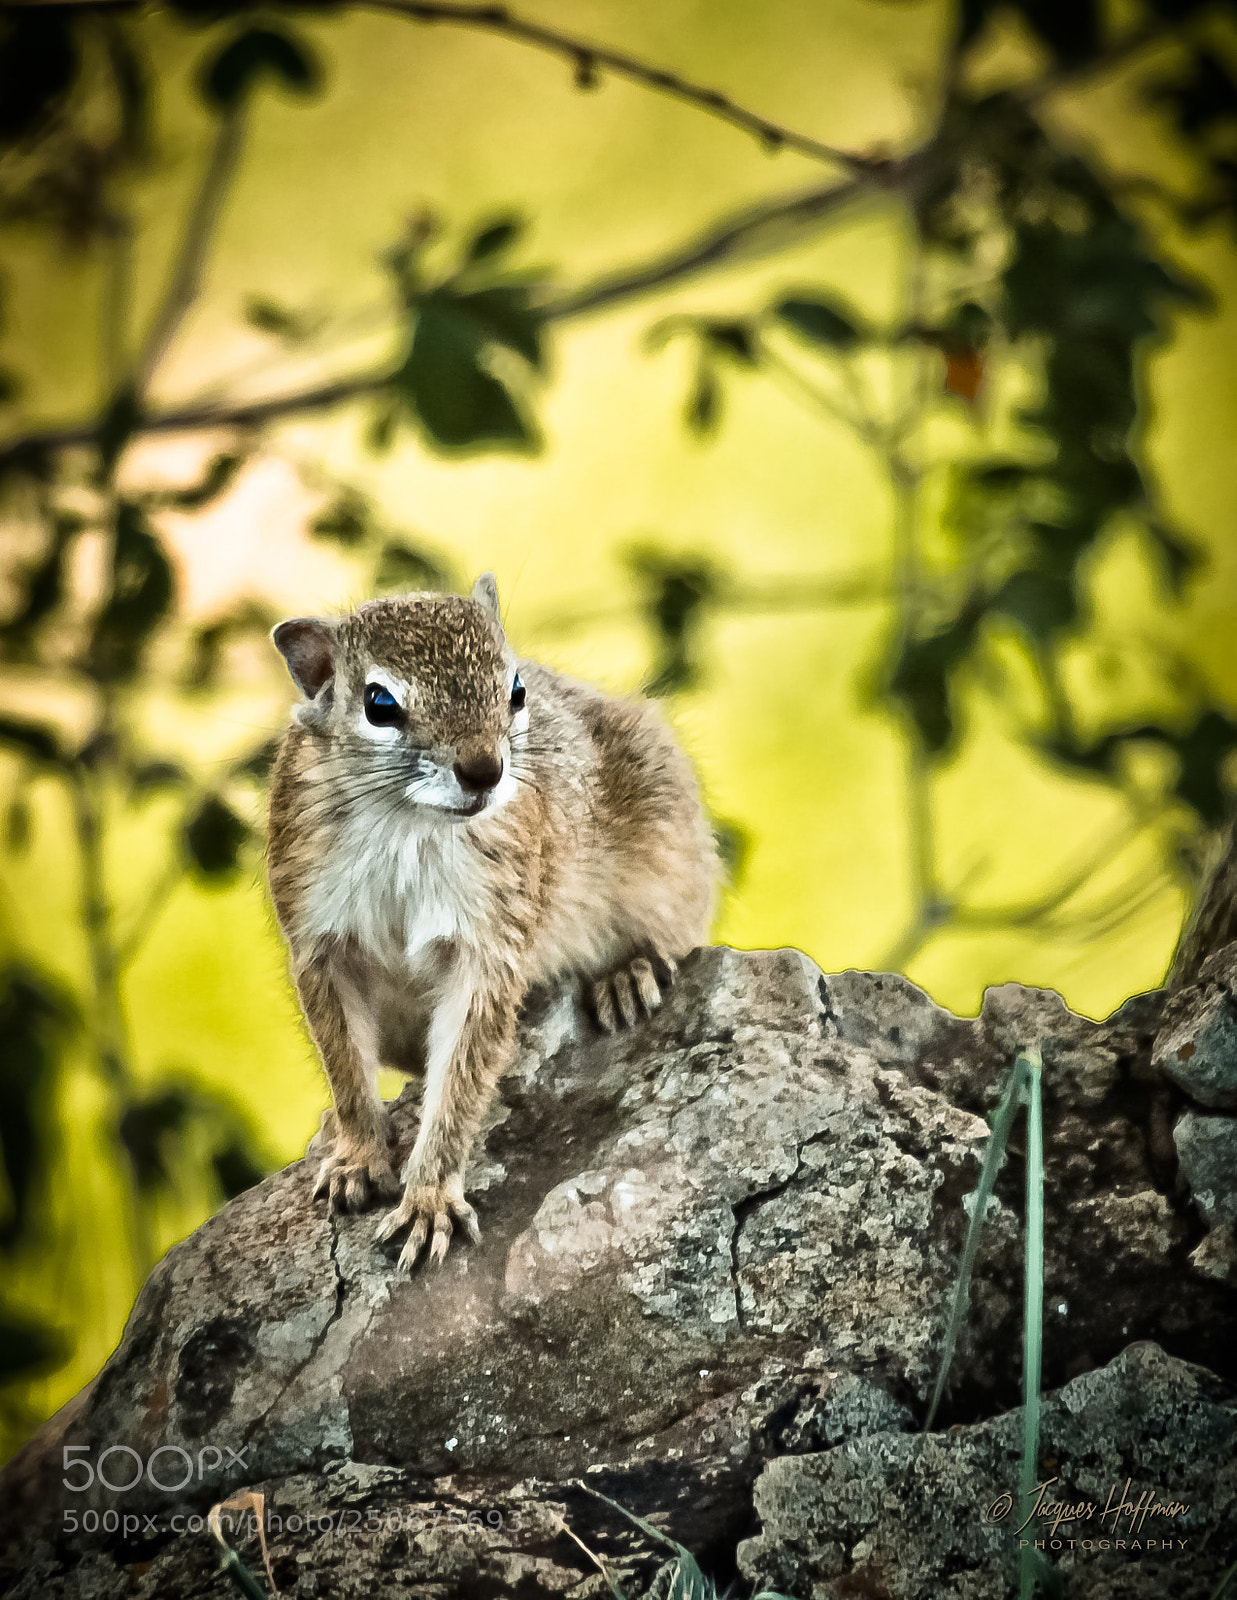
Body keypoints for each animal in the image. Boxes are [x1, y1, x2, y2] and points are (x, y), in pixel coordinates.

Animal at [267, 574, 718, 1271]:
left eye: (517, 689)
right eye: (378, 703)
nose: (484, 769)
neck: (410, 823)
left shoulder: (489, 946)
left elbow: (460, 1080)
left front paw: (428, 1199)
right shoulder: (321, 940)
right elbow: (345, 1067)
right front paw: (357, 1155)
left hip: (667, 846)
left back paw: (626, 974)